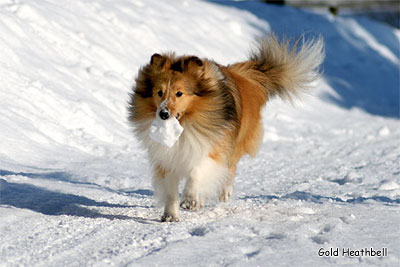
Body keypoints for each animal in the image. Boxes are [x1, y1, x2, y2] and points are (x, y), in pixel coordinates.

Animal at [128, 34, 324, 222]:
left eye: (179, 93)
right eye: (159, 92)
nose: (163, 114)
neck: (187, 123)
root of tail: (245, 75)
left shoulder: (211, 147)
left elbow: (196, 170)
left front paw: (190, 200)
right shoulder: (167, 158)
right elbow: (170, 190)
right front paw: (170, 215)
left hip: (236, 142)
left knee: (230, 168)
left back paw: (223, 193)